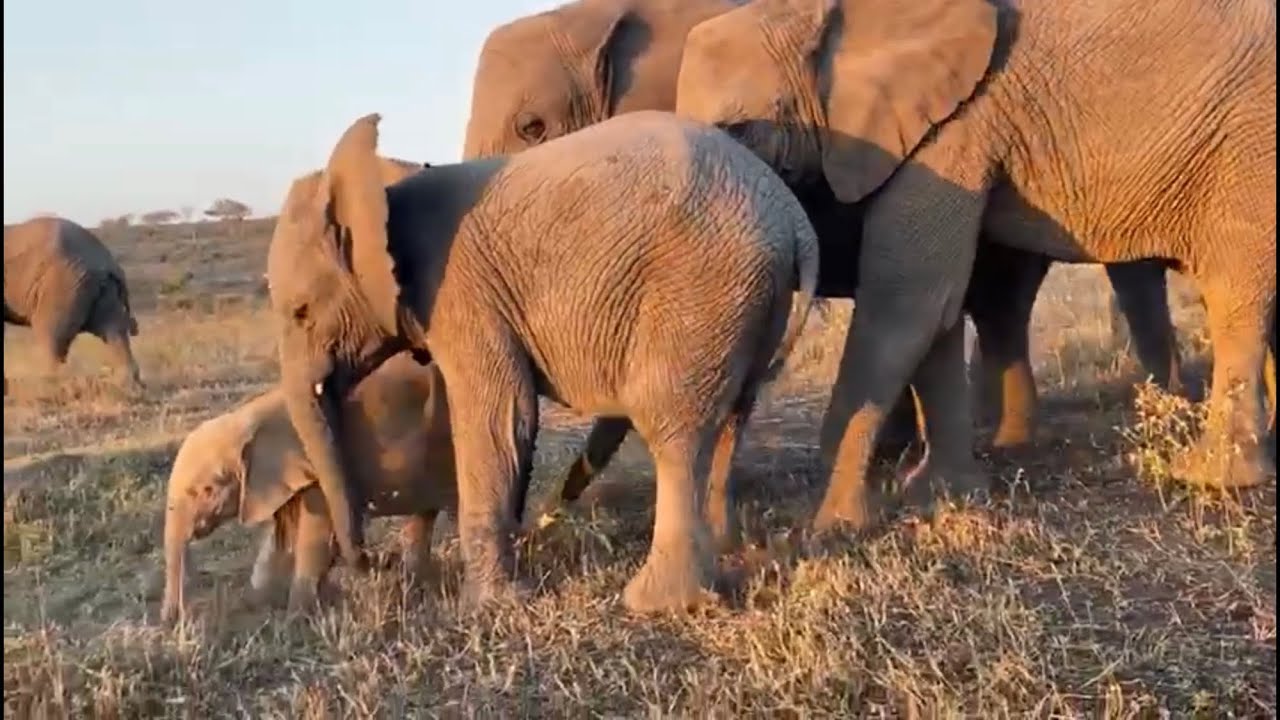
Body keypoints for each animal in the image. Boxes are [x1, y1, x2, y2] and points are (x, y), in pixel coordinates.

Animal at [4, 215, 143, 391]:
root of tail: (109, 263)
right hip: (102, 288)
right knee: (114, 331)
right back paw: (129, 388)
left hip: (62, 284)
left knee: (52, 338)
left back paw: (47, 388)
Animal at [160, 352, 456, 624]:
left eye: (208, 490)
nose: (174, 622)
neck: (245, 416)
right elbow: (281, 539)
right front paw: (255, 605)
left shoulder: (315, 473)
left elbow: (314, 538)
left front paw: (295, 620)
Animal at [264, 111, 818, 613]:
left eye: (300, 312)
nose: (367, 562)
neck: (382, 185)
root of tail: (794, 219)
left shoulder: (460, 294)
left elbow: (499, 416)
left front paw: (487, 606)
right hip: (749, 298)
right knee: (730, 416)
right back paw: (724, 555)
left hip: (701, 284)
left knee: (673, 427)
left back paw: (655, 604)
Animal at [673, 0, 1276, 529]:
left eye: (743, 129)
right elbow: (938, 305)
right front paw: (940, 494)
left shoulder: (953, 127)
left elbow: (908, 300)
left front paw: (835, 525)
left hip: (1250, 138)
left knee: (1234, 291)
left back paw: (1211, 476)